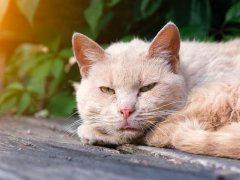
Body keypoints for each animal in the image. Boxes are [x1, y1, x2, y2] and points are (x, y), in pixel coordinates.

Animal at [71, 21, 240, 158]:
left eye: (147, 87)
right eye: (107, 90)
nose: (126, 110)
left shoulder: (216, 99)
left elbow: (159, 130)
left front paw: (92, 131)